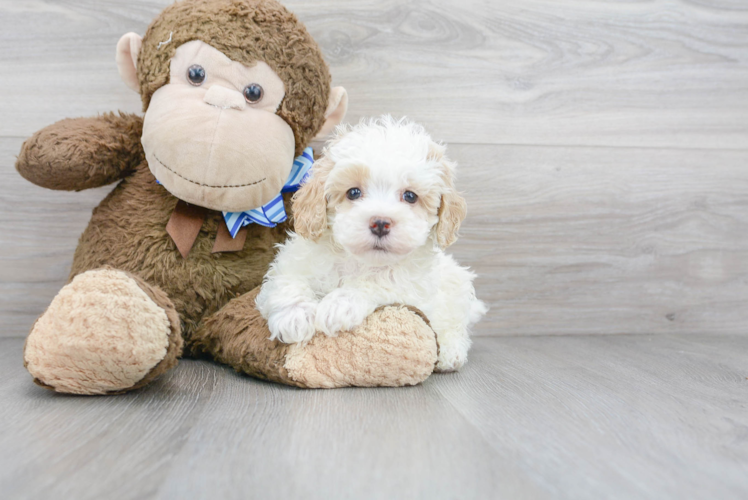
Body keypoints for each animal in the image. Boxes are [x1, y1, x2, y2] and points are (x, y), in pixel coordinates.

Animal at [258, 116, 488, 372]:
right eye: (353, 192)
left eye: (410, 196)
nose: (380, 223)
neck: (358, 261)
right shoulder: (293, 261)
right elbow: (288, 280)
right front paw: (294, 316)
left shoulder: (411, 286)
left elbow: (380, 281)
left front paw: (340, 304)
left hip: (456, 287)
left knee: (455, 326)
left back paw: (450, 351)